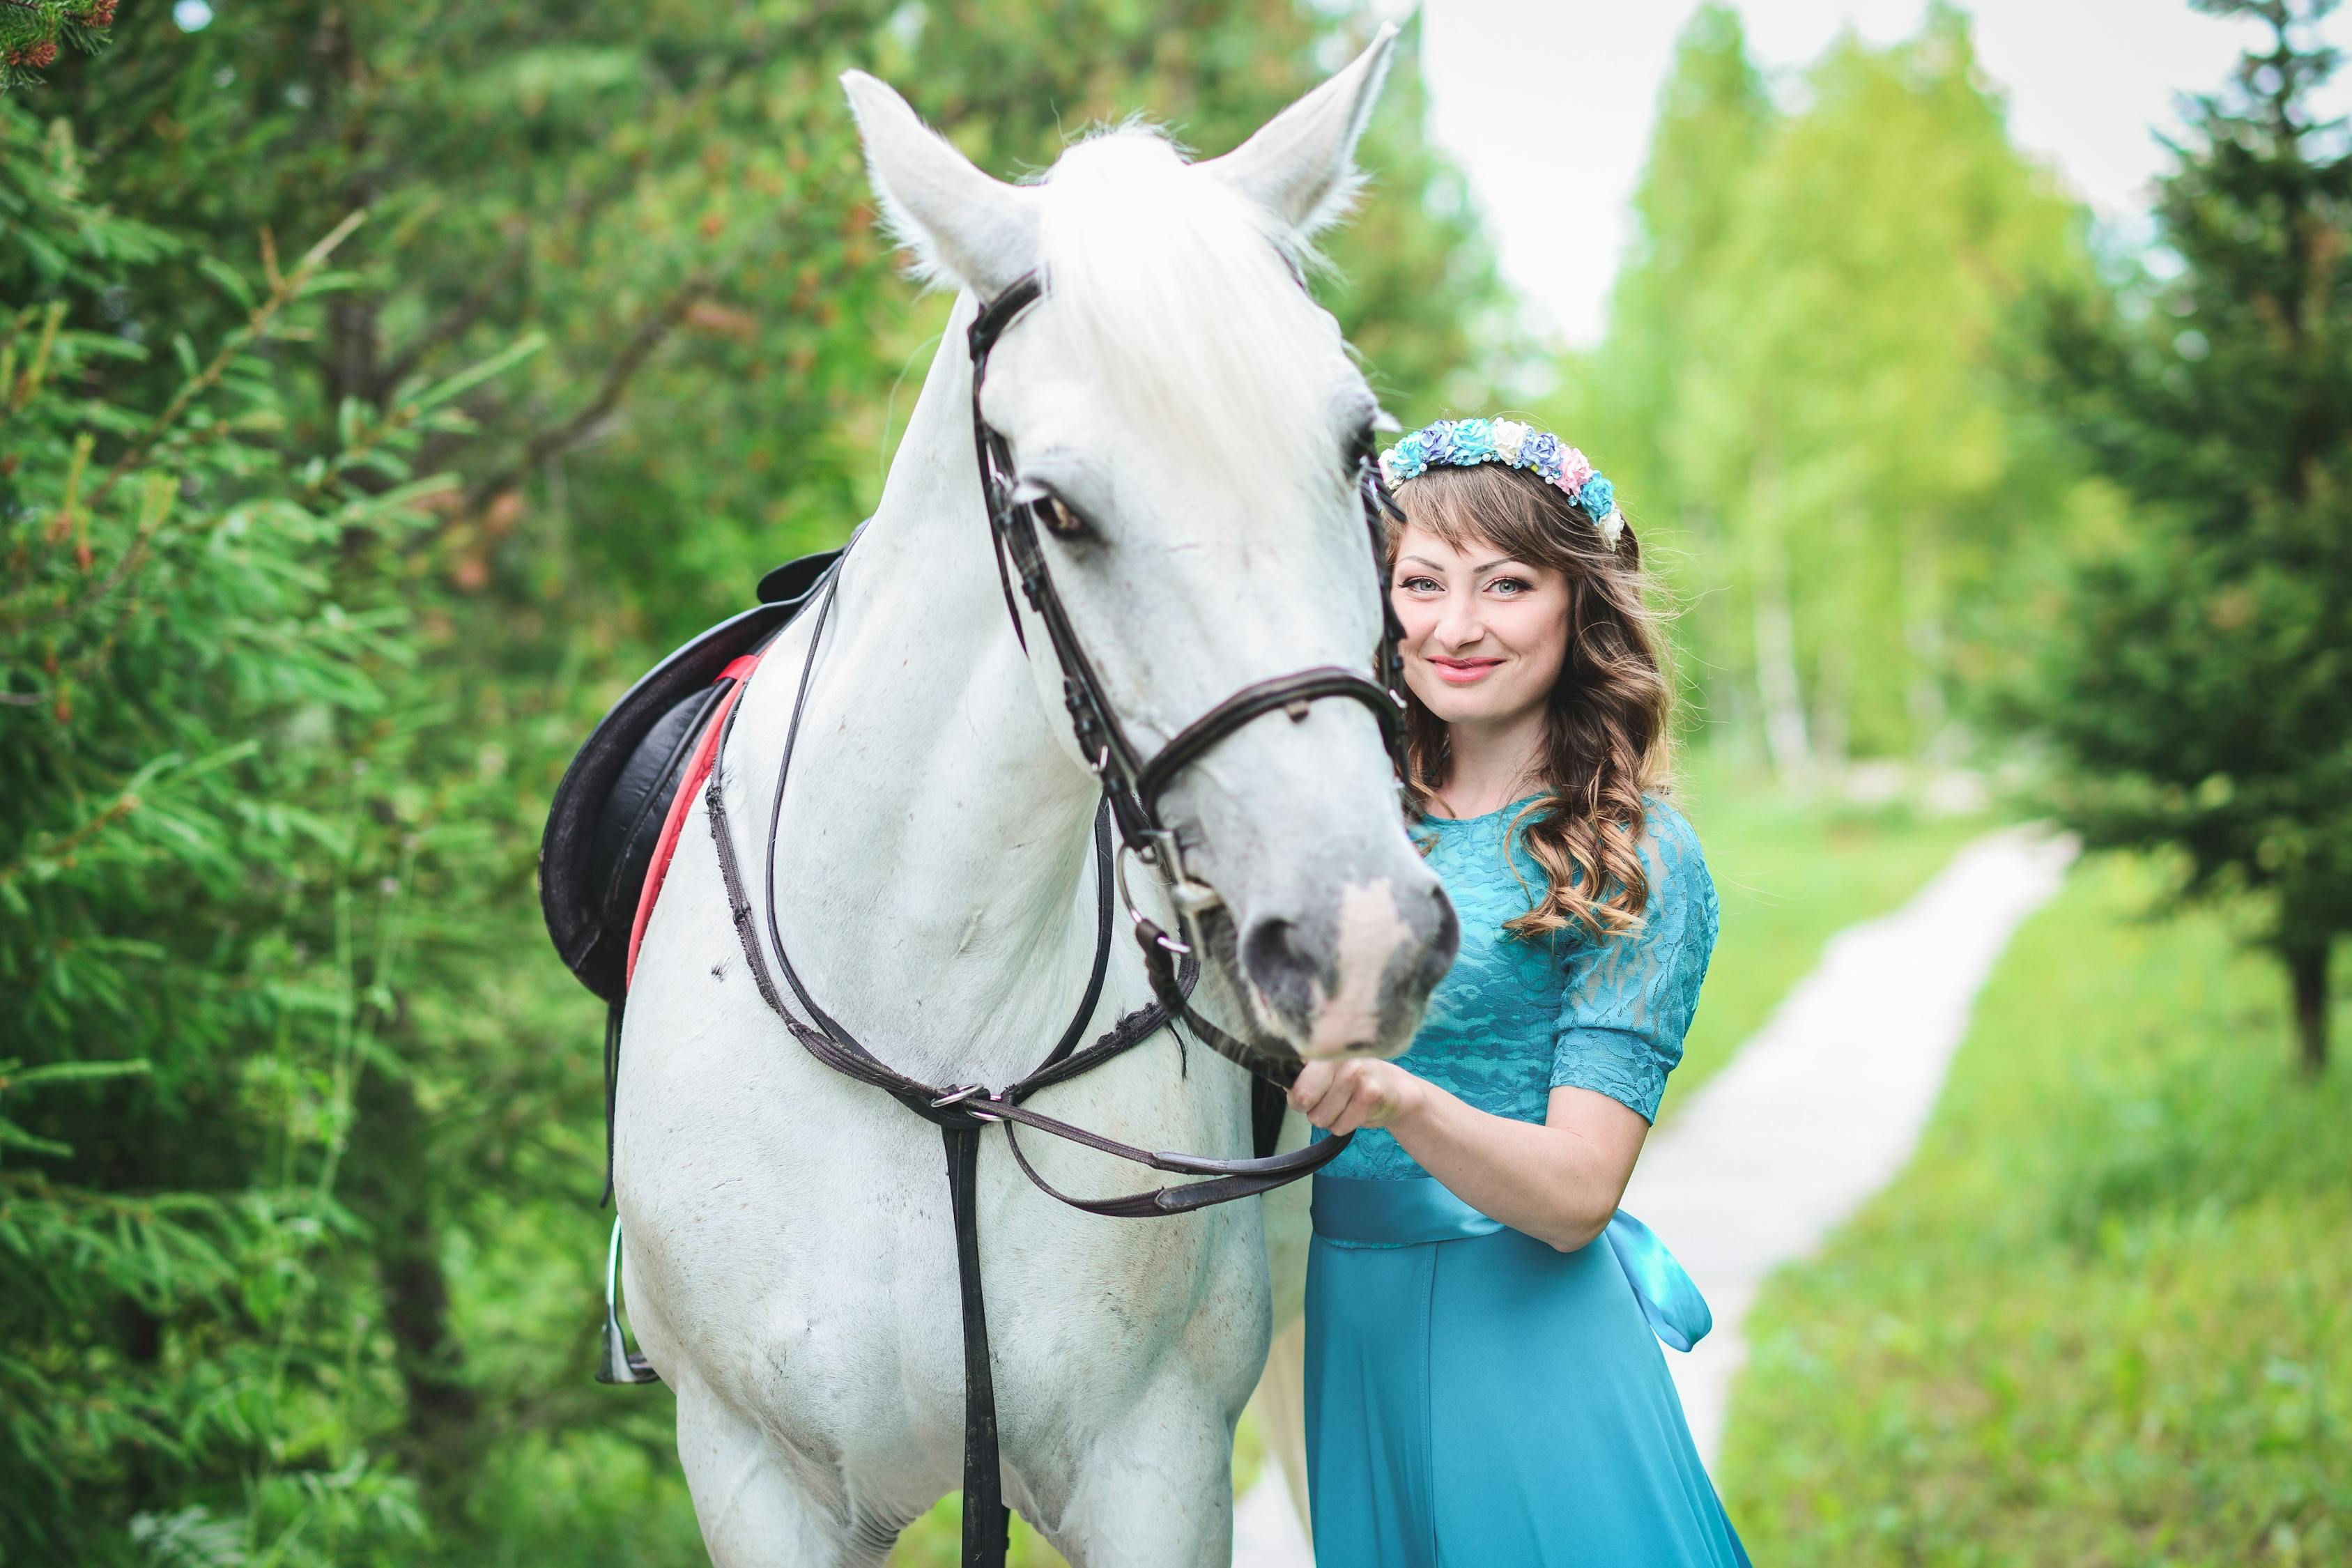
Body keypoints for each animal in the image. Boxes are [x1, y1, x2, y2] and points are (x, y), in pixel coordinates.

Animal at [616, 31, 1439, 1560]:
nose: (1360, 933)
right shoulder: (754, 1473)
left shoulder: (1150, 1466)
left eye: (1357, 447)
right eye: (1056, 509)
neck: (924, 1040)